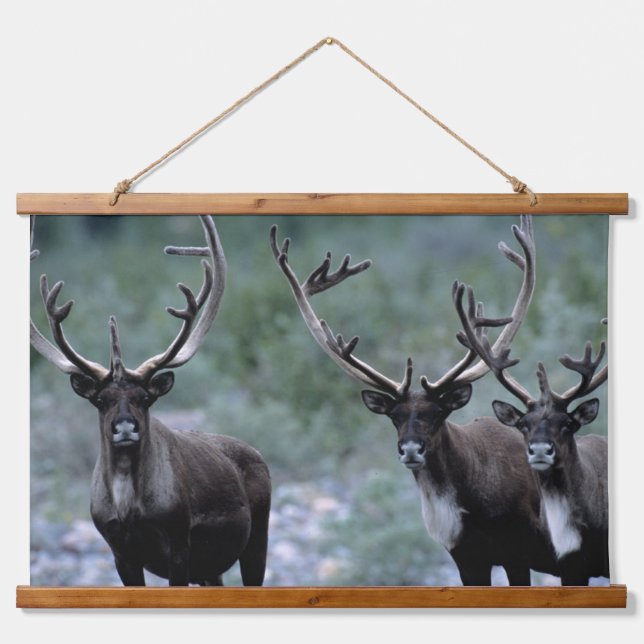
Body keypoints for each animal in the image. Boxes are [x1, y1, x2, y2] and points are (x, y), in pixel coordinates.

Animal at [30, 216, 271, 587]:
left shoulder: (178, 542)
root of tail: (258, 455)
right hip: (211, 566)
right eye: (100, 399)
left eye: (145, 397)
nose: (124, 427)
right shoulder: (120, 552)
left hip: (255, 539)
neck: (129, 505)